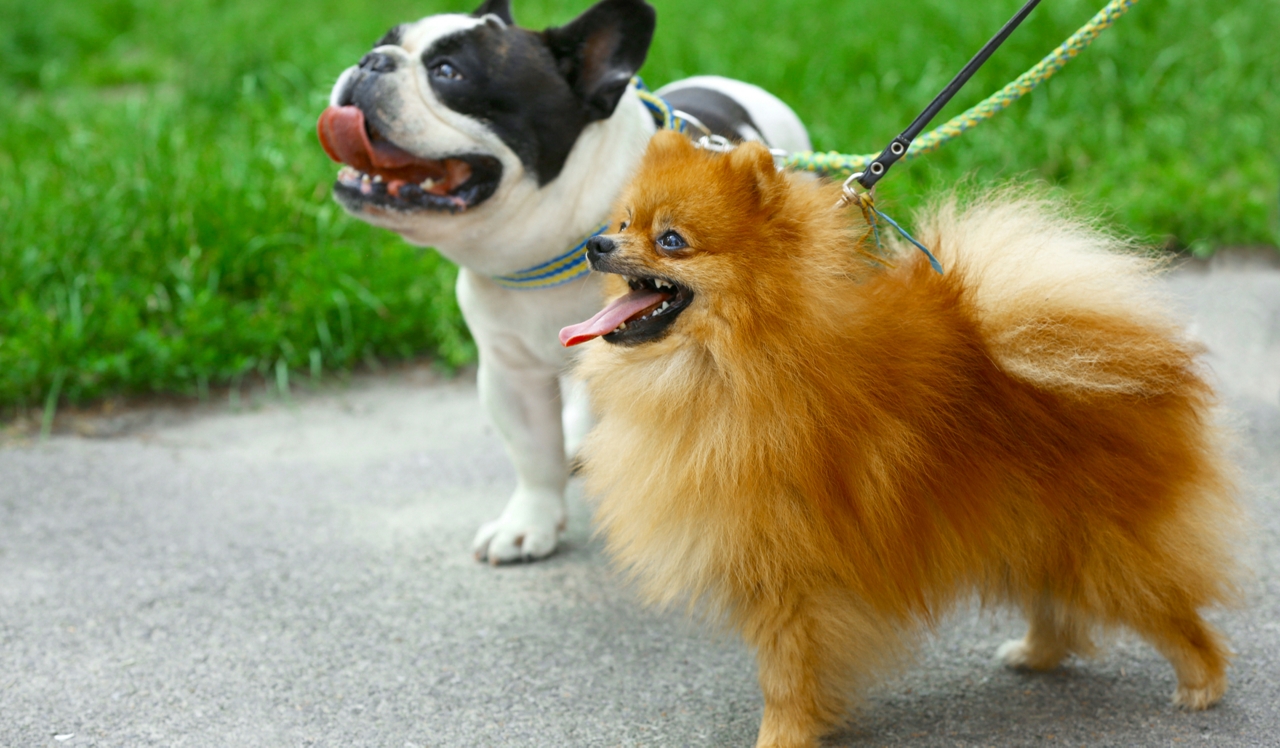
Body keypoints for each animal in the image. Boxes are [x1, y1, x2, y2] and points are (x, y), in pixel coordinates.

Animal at [314, 0, 803, 561]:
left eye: (448, 73)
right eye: (382, 41)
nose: (371, 61)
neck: (548, 258)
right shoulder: (510, 372)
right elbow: (533, 454)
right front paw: (529, 522)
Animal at [558, 131, 1239, 742]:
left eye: (671, 240)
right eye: (623, 220)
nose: (596, 242)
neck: (738, 363)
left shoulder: (792, 576)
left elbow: (786, 678)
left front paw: (781, 737)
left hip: (1103, 544)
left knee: (1169, 610)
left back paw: (1202, 682)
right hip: (1036, 527)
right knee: (1059, 604)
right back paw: (1036, 653)